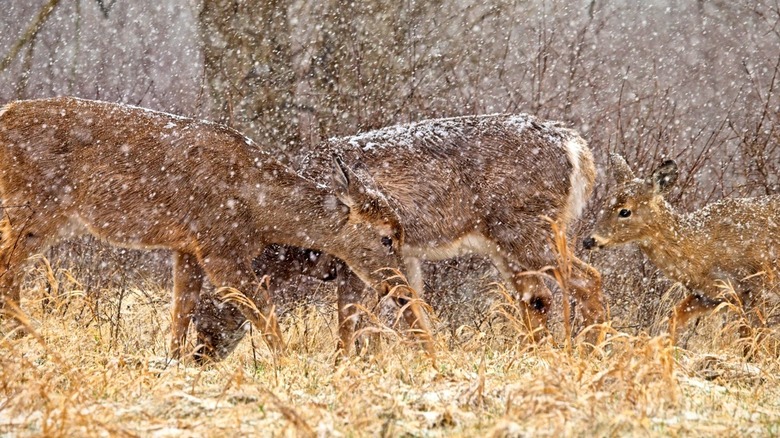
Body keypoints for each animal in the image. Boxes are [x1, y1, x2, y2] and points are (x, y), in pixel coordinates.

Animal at [0, 96, 433, 362]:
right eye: (386, 237)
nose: (398, 286)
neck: (258, 208)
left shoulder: (187, 245)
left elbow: (181, 309)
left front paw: (173, 362)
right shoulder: (218, 243)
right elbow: (261, 306)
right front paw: (288, 364)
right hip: (35, 207)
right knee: (8, 266)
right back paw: (29, 338)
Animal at [194, 113, 607, 357]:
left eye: (204, 314)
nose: (198, 357)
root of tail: (577, 149)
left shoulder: (355, 256)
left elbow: (351, 318)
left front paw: (342, 367)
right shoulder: (402, 255)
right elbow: (407, 310)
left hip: (523, 226)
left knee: (587, 278)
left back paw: (589, 350)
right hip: (508, 242)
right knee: (537, 298)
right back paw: (539, 354)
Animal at [583, 154, 780, 350]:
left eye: (625, 211)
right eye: (605, 202)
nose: (588, 241)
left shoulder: (759, 288)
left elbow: (753, 341)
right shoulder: (711, 295)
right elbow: (675, 316)